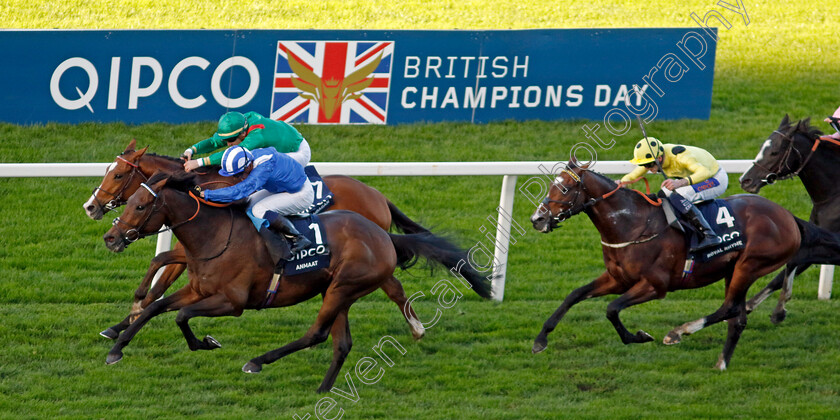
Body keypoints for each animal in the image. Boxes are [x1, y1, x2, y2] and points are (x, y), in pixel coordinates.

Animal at [83, 140, 434, 338]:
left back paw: (417, 328)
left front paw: (133, 312)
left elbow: (160, 264)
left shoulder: (195, 249)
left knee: (392, 286)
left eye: (118, 175)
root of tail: (378, 195)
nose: (91, 206)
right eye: (108, 170)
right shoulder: (191, 252)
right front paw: (125, 321)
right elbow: (160, 274)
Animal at [102, 171, 492, 394]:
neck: (214, 235)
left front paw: (206, 342)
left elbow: (181, 317)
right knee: (341, 343)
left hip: (342, 287)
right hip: (339, 292)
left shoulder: (232, 302)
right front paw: (117, 347)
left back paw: (258, 361)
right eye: (130, 201)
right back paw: (323, 390)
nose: (110, 237)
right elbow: (155, 307)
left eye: (140, 207)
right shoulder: (197, 289)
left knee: (317, 334)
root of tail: (384, 237)